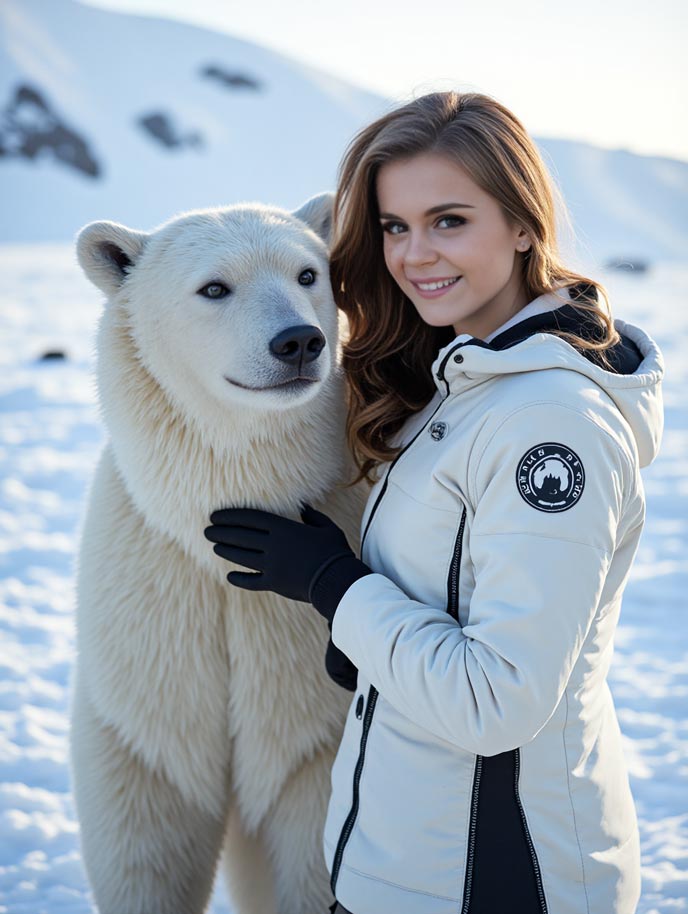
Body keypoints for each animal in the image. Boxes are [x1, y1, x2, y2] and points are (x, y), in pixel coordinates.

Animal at [71, 193, 367, 914]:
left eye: (307, 273)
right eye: (214, 287)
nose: (298, 341)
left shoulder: (311, 712)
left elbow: (311, 840)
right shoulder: (153, 648)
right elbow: (152, 831)